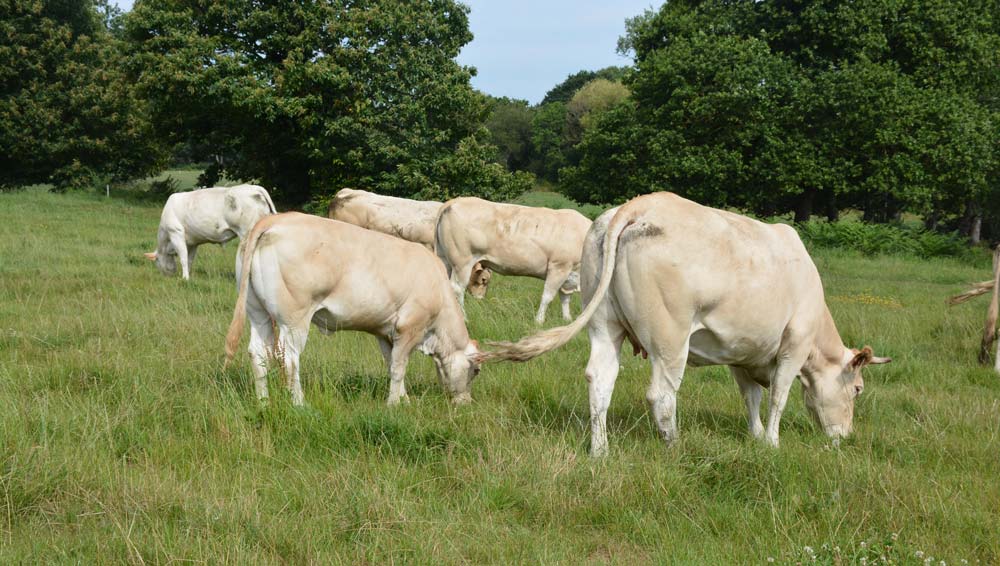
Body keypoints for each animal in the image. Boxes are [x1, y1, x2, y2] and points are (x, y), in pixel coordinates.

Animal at [143, 184, 276, 280]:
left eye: (157, 261)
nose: (167, 275)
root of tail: (254, 187)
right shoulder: (192, 242)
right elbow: (190, 259)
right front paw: (188, 276)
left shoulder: (176, 233)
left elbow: (183, 258)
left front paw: (184, 278)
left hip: (248, 232)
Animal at [225, 213, 482, 408]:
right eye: (476, 370)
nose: (466, 403)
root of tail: (273, 219)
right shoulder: (410, 328)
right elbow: (399, 368)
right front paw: (393, 404)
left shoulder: (385, 333)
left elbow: (391, 365)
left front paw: (404, 400)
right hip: (294, 320)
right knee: (289, 359)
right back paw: (299, 403)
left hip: (257, 312)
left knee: (258, 353)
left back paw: (263, 402)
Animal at [432, 197, 588, 324]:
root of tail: (454, 201)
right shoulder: (559, 267)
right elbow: (548, 296)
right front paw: (539, 321)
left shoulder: (569, 274)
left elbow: (565, 298)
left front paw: (568, 319)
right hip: (462, 261)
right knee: (457, 288)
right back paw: (464, 318)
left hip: (445, 259)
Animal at [480, 194, 896, 458]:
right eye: (857, 389)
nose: (843, 437)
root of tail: (638, 204)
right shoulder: (794, 344)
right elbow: (777, 396)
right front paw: (772, 442)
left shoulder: (740, 352)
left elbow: (751, 397)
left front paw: (755, 436)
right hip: (670, 337)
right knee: (661, 395)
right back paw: (674, 446)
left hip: (604, 325)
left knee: (600, 380)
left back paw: (600, 450)